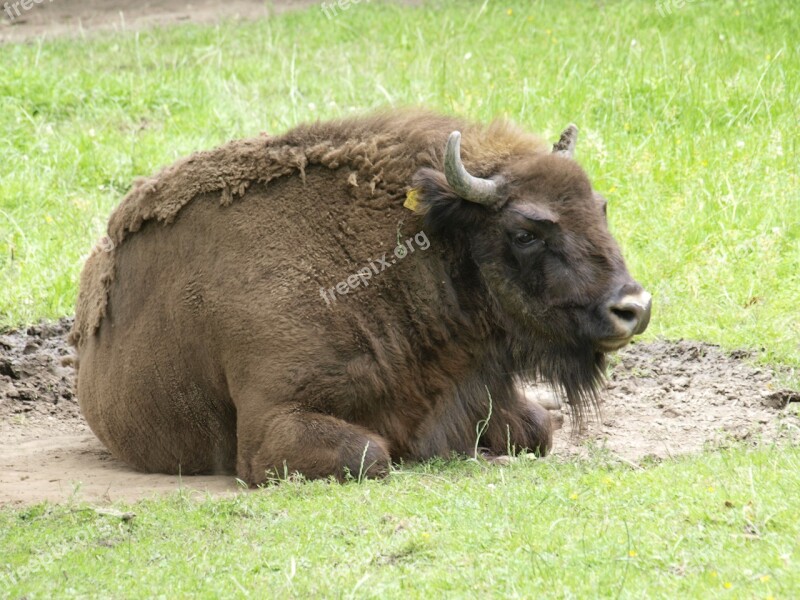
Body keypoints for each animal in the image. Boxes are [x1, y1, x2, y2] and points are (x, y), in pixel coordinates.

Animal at [70, 110, 648, 486]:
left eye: (600, 206)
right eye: (525, 232)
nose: (633, 308)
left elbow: (537, 429)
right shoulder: (271, 426)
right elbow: (372, 455)